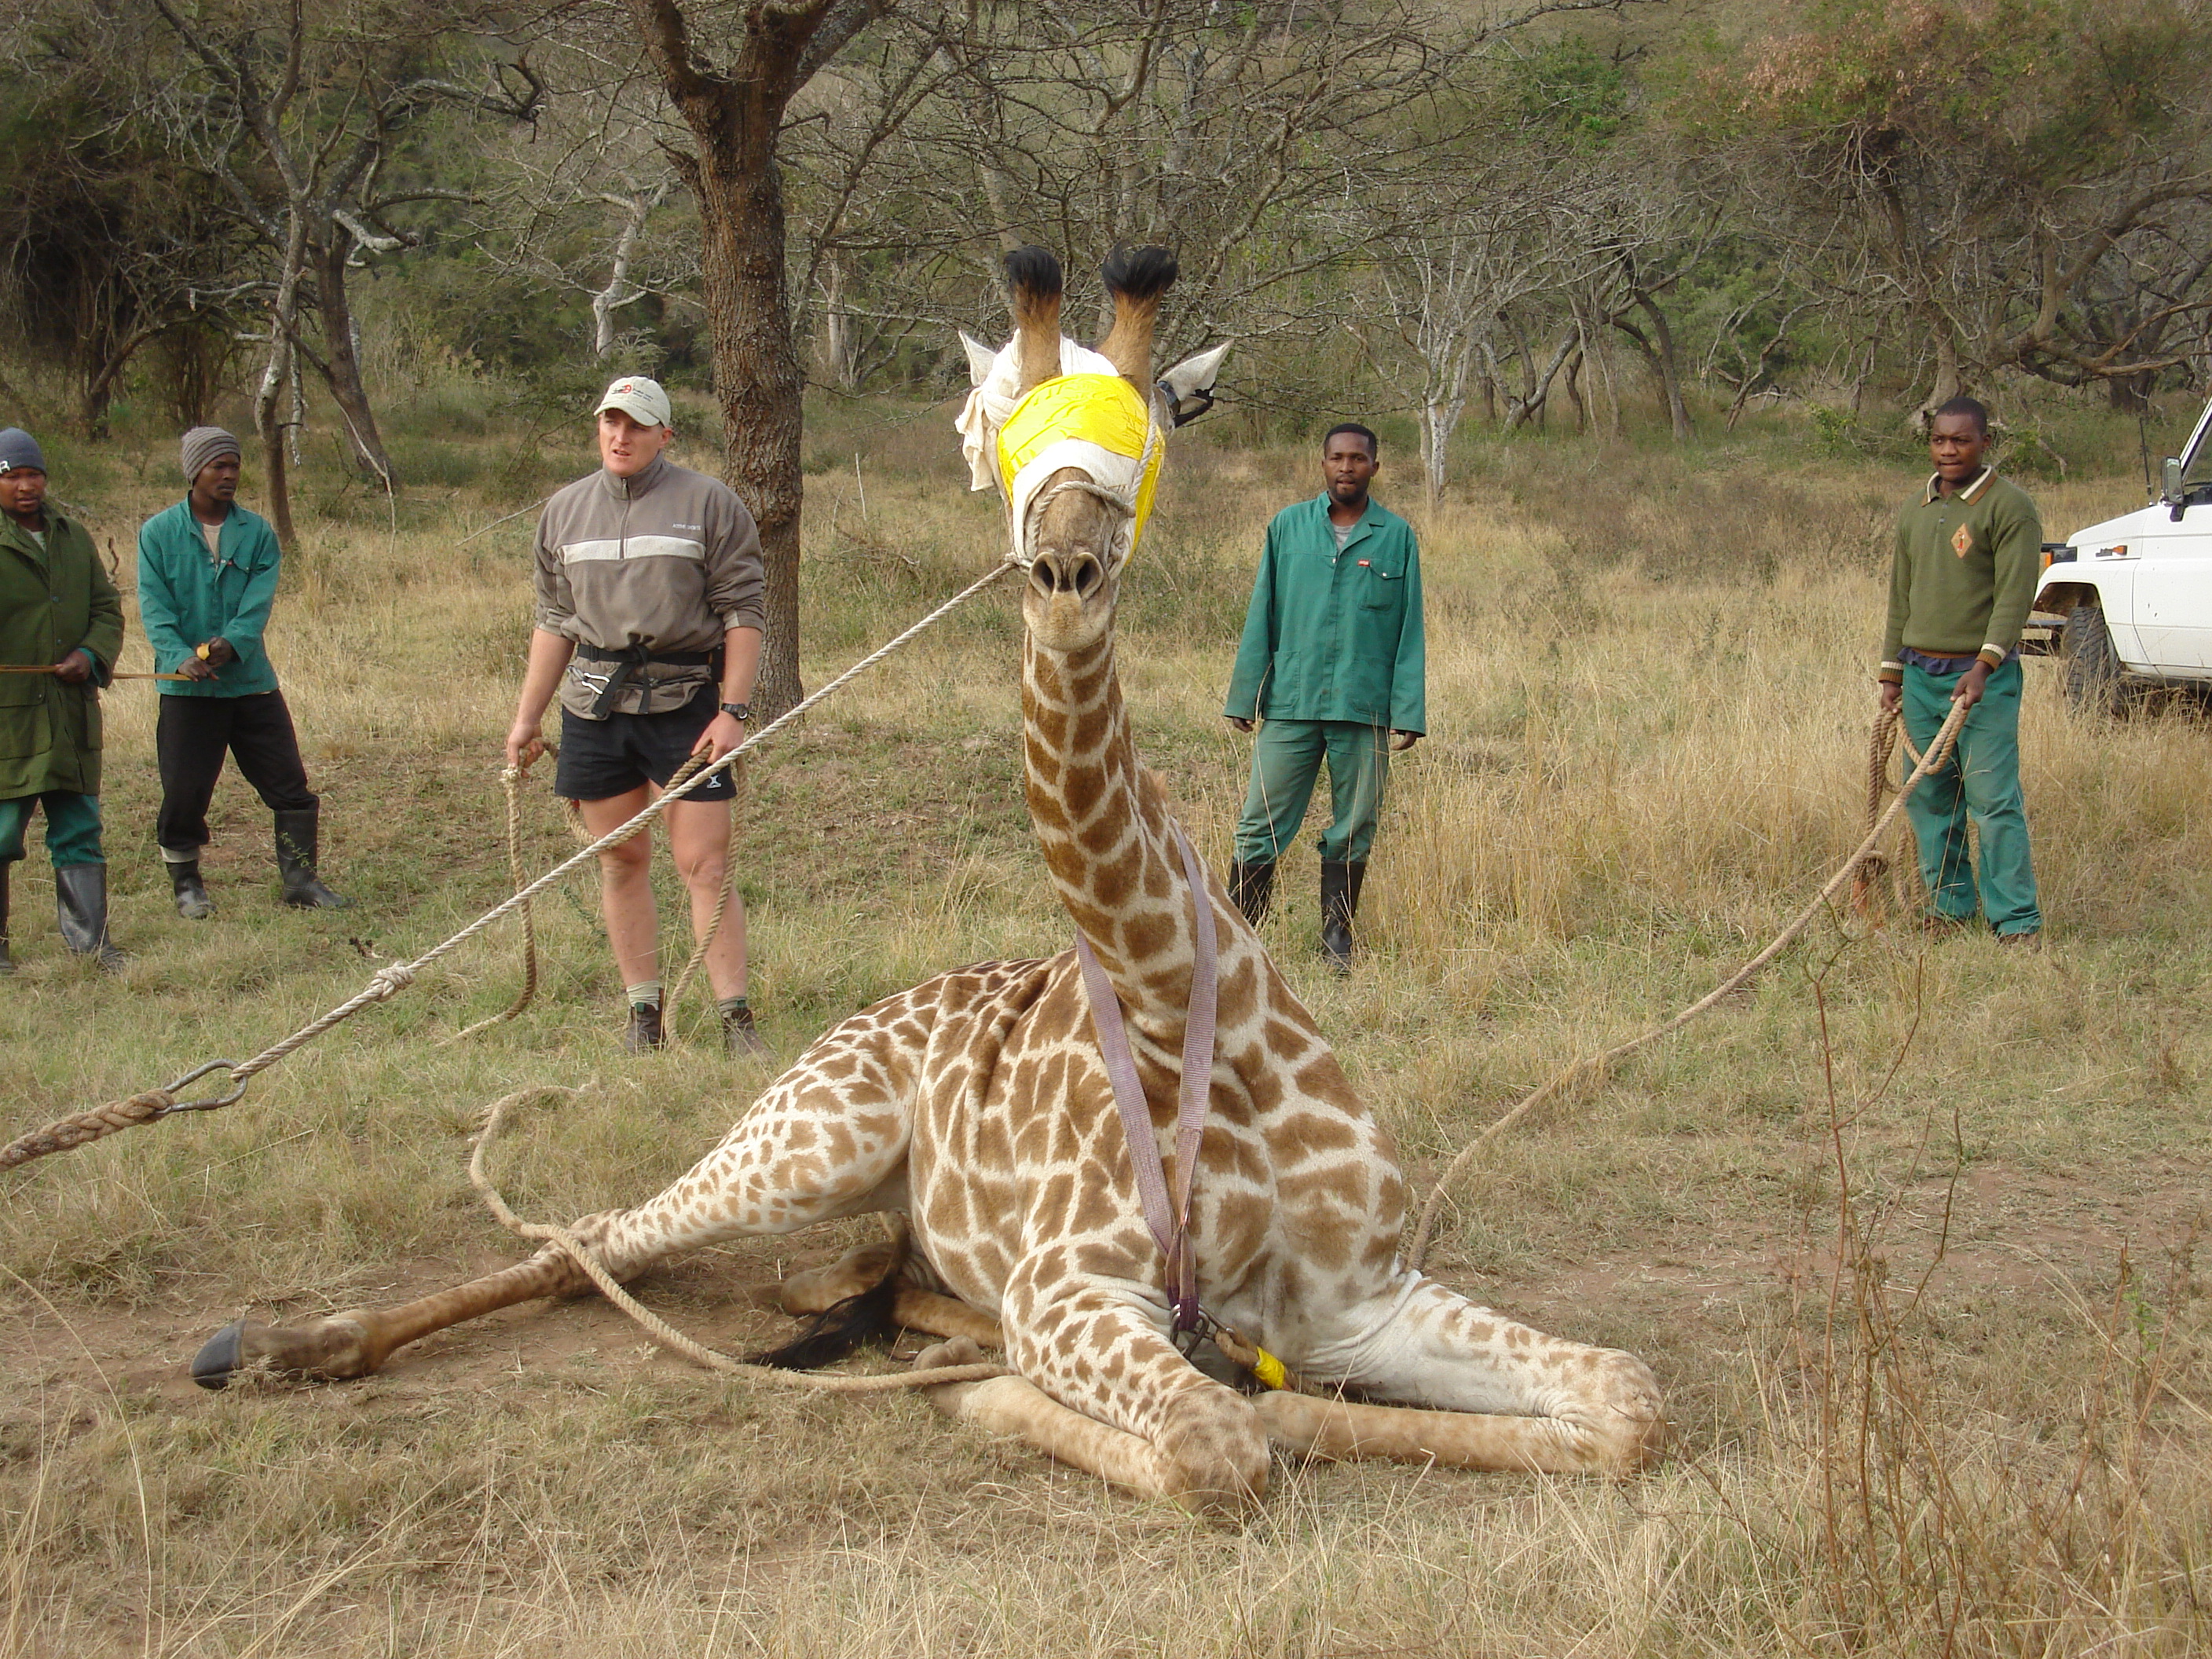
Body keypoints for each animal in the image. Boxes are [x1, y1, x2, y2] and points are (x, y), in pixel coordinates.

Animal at [188, 247, 1663, 1516]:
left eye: (1147, 426)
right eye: (998, 409)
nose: (1066, 565)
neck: (1179, 990)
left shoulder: (1361, 1293)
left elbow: (1625, 1398)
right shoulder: (1072, 1295)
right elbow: (1219, 1440)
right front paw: (1006, 1399)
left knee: (818, 1269)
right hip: (811, 1136)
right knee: (600, 1236)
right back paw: (283, 1345)